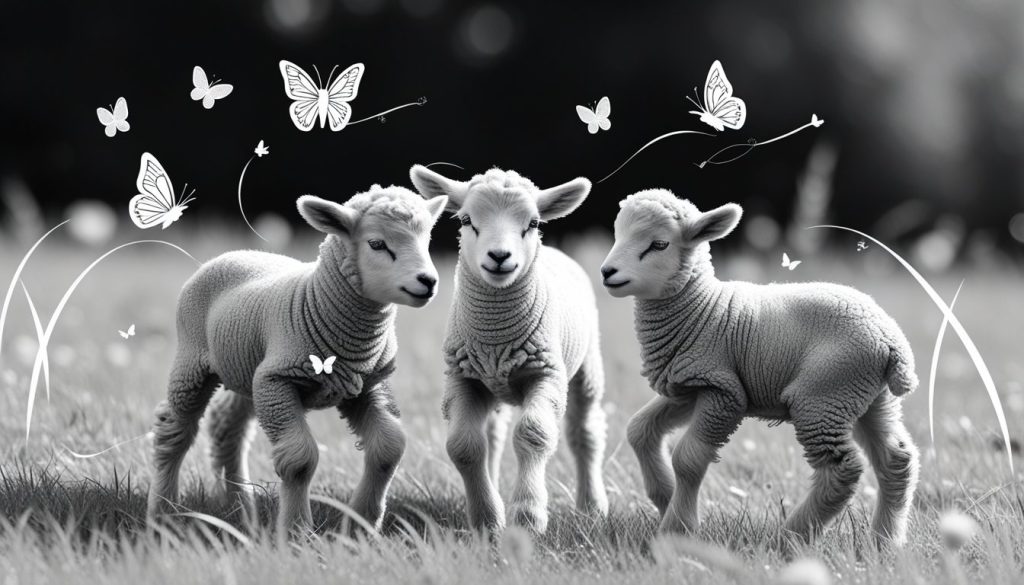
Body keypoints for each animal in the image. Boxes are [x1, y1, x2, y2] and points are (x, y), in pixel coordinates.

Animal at [146, 185, 449, 536]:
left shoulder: (366, 385)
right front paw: (296, 531)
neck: (316, 299)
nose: (428, 281)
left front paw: (361, 526)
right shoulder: (278, 380)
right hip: (193, 362)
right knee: (174, 430)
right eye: (376, 244)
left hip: (248, 372)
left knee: (227, 427)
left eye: (426, 241)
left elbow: (388, 449)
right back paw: (163, 513)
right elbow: (299, 460)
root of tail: (231, 253)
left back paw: (242, 509)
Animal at [409, 164, 608, 535]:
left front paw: (528, 516)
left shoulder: (546, 375)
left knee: (584, 431)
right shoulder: (462, 378)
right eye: (467, 220)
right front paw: (487, 520)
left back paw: (591, 507)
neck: (496, 335)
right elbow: (465, 446)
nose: (500, 257)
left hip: (587, 367)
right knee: (493, 436)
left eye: (532, 223)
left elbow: (534, 433)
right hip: (491, 384)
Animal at [599, 189, 920, 547]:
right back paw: (885, 540)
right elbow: (639, 430)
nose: (607, 272)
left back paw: (790, 537)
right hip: (869, 397)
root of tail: (891, 340)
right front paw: (665, 496)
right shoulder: (688, 387)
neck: (702, 308)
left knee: (842, 470)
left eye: (659, 244)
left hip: (823, 396)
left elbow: (688, 458)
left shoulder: (723, 392)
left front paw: (678, 529)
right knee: (897, 459)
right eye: (618, 233)